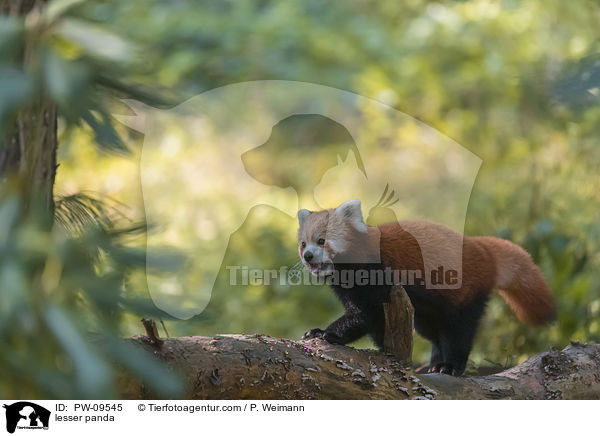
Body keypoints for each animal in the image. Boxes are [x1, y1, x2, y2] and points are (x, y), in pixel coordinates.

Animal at [298, 199, 556, 376]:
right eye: (303, 243)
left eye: (321, 240)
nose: (308, 256)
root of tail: (482, 249)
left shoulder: (377, 276)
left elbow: (366, 314)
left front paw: (323, 333)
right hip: (427, 311)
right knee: (434, 332)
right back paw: (435, 363)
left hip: (465, 294)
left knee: (459, 331)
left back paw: (450, 366)